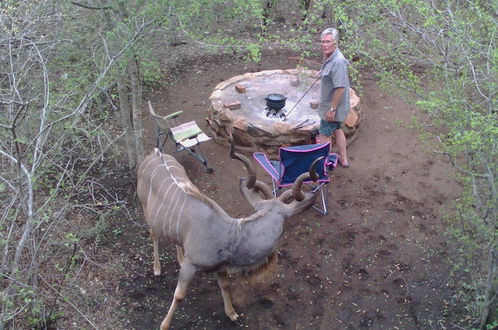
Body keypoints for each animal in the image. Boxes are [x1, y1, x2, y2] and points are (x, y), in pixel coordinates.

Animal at [138, 141, 320, 328]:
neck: (229, 235)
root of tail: (155, 153)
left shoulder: (220, 267)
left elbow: (225, 286)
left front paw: (231, 314)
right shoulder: (191, 264)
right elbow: (179, 295)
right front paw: (164, 325)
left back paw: (178, 259)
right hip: (146, 209)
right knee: (153, 233)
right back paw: (157, 269)